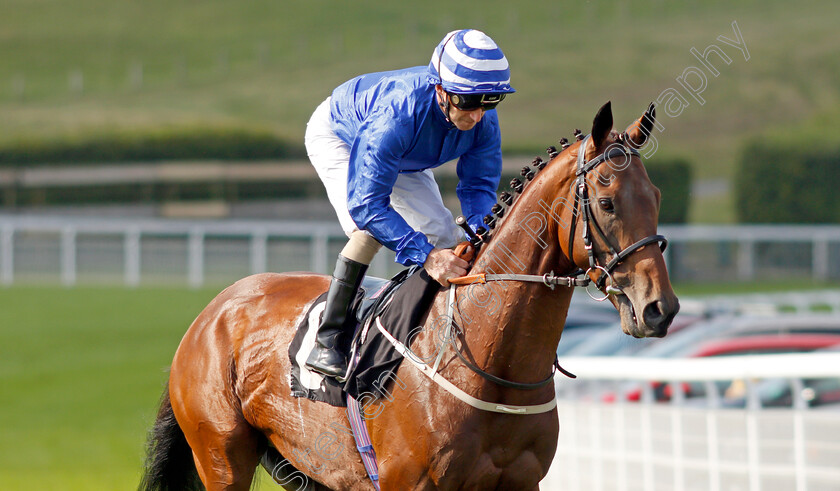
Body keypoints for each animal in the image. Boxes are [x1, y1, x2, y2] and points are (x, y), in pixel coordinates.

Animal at [138, 101, 676, 491]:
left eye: (656, 197)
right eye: (606, 201)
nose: (659, 308)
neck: (492, 364)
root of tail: (213, 311)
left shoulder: (521, 483)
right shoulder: (409, 484)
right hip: (222, 454)